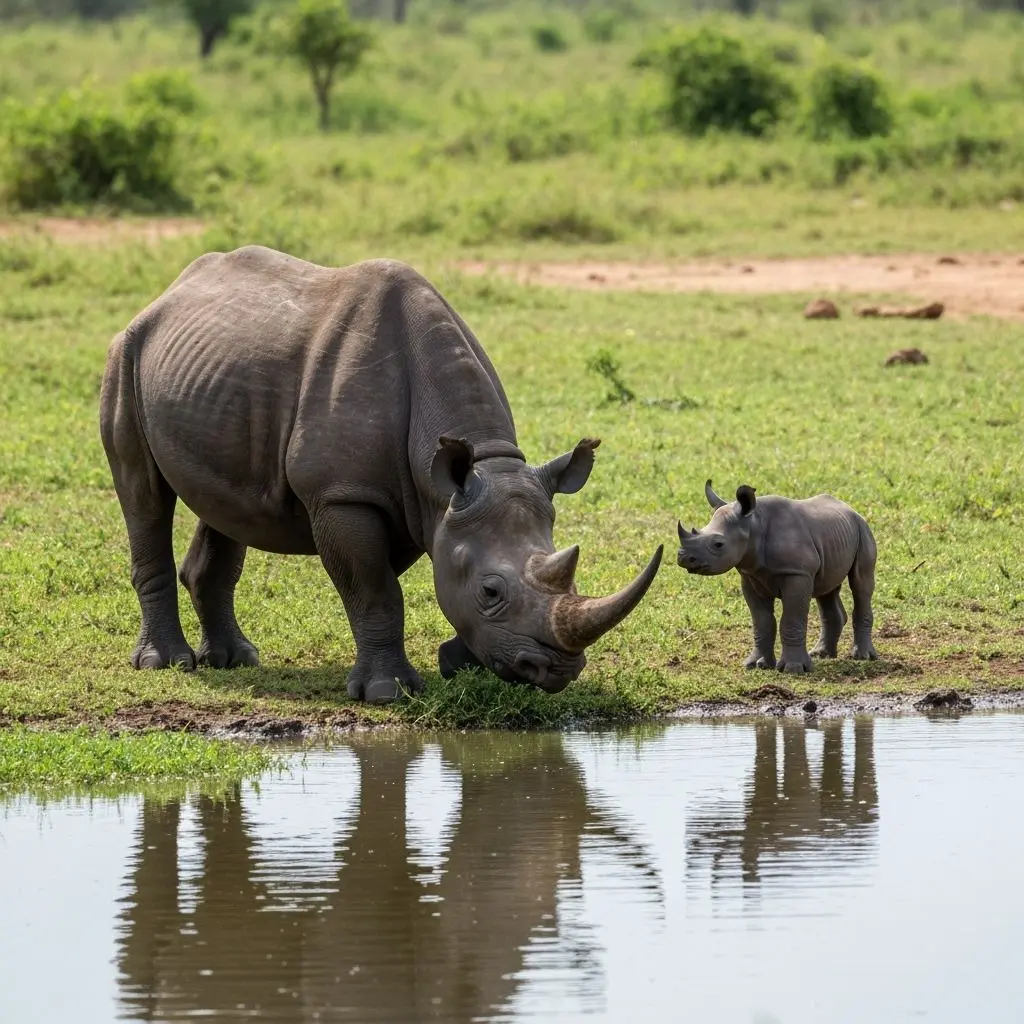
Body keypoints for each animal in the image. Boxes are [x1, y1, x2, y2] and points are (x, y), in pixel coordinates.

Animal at [99, 246, 662, 703]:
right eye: (491, 592)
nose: (556, 670)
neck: (483, 460)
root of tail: (166, 295)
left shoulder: (421, 498)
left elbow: (411, 576)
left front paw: (458, 664)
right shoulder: (346, 495)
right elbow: (375, 590)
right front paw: (389, 692)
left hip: (210, 381)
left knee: (225, 506)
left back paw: (236, 660)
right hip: (125, 352)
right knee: (144, 495)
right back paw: (167, 664)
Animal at [676, 480, 878, 673]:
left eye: (718, 544)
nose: (684, 558)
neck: (753, 525)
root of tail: (850, 509)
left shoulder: (797, 573)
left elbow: (791, 620)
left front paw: (793, 669)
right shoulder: (750, 576)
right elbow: (762, 622)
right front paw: (755, 664)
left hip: (863, 530)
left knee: (861, 583)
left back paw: (863, 657)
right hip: (834, 537)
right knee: (827, 588)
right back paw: (822, 654)